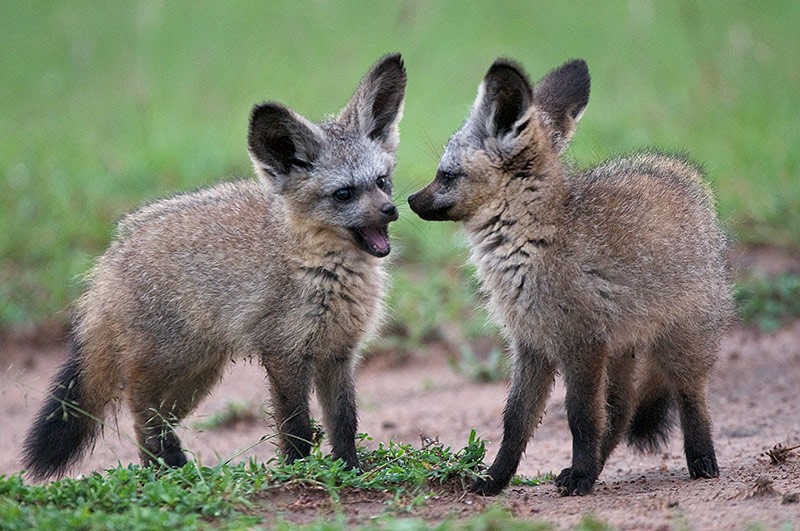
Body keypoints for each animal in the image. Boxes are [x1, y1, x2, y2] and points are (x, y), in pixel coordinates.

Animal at [410, 59, 736, 498]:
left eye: (445, 175)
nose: (408, 201)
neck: (529, 244)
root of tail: (681, 170)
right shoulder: (532, 344)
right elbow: (516, 422)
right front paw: (497, 478)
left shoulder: (581, 344)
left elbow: (580, 417)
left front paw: (578, 475)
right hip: (622, 355)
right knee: (620, 414)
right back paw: (597, 468)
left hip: (680, 346)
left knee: (690, 398)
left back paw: (700, 458)